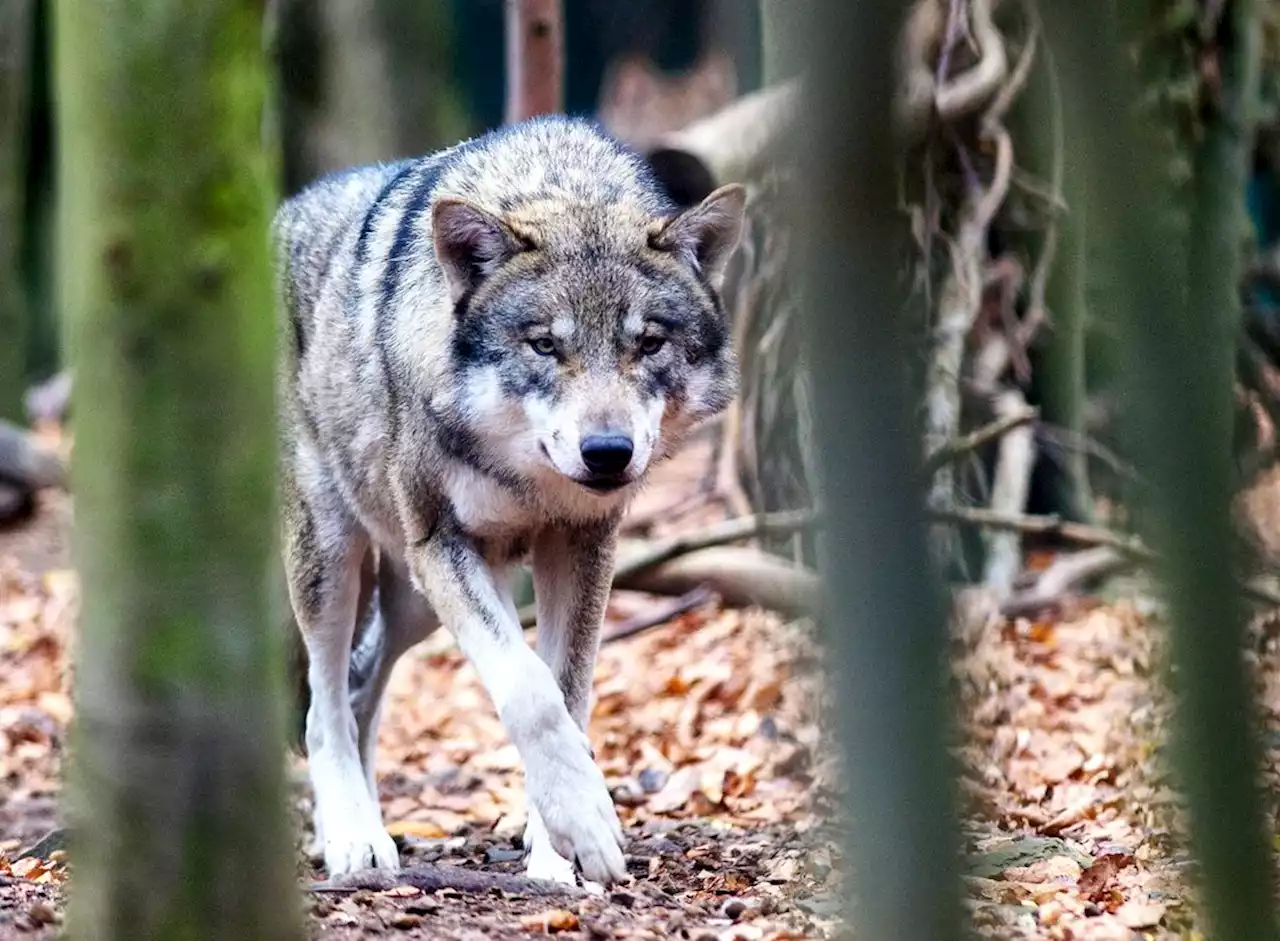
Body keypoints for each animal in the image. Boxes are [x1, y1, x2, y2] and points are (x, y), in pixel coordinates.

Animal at [275, 115, 747, 891]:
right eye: (545, 345)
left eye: (648, 343)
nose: (608, 451)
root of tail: (283, 213)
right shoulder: (442, 544)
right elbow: (529, 689)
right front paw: (585, 825)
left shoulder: (583, 546)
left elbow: (567, 692)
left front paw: (558, 849)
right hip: (338, 558)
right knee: (324, 703)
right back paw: (352, 838)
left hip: (412, 603)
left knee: (362, 687)